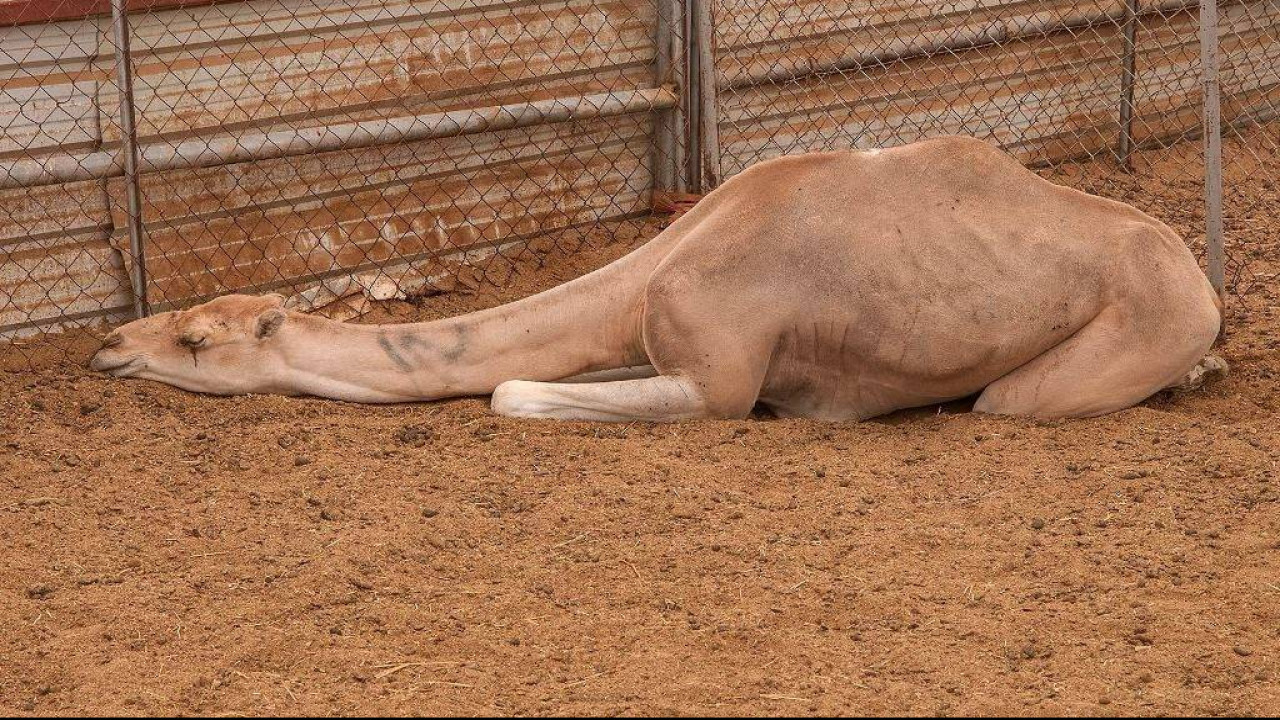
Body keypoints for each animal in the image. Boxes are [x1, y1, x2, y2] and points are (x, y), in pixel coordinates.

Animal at [90, 136, 1225, 422]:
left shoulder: (716, 380)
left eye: (195, 339)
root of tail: (1191, 266)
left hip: (1124, 329)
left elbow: (506, 392)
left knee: (1004, 400)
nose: (107, 347)